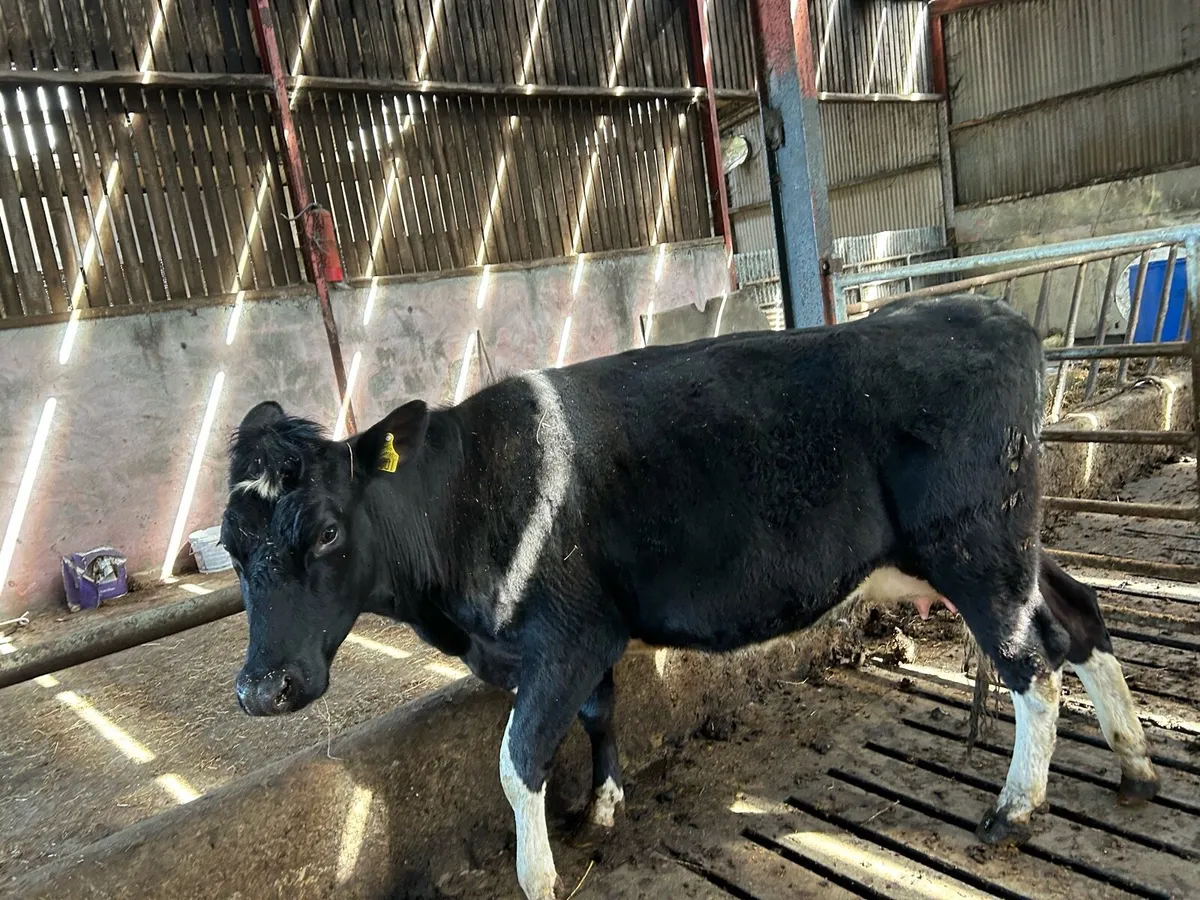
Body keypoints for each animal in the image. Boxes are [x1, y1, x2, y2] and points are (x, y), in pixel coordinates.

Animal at [222, 296, 1158, 900]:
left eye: (328, 533)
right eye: (232, 546)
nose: (260, 690)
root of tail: (998, 316)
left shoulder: (566, 635)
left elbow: (519, 762)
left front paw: (539, 875)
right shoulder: (588, 638)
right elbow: (598, 717)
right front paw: (602, 811)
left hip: (975, 548)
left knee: (1034, 664)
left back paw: (1015, 811)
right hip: (1001, 550)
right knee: (1080, 616)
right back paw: (1136, 765)